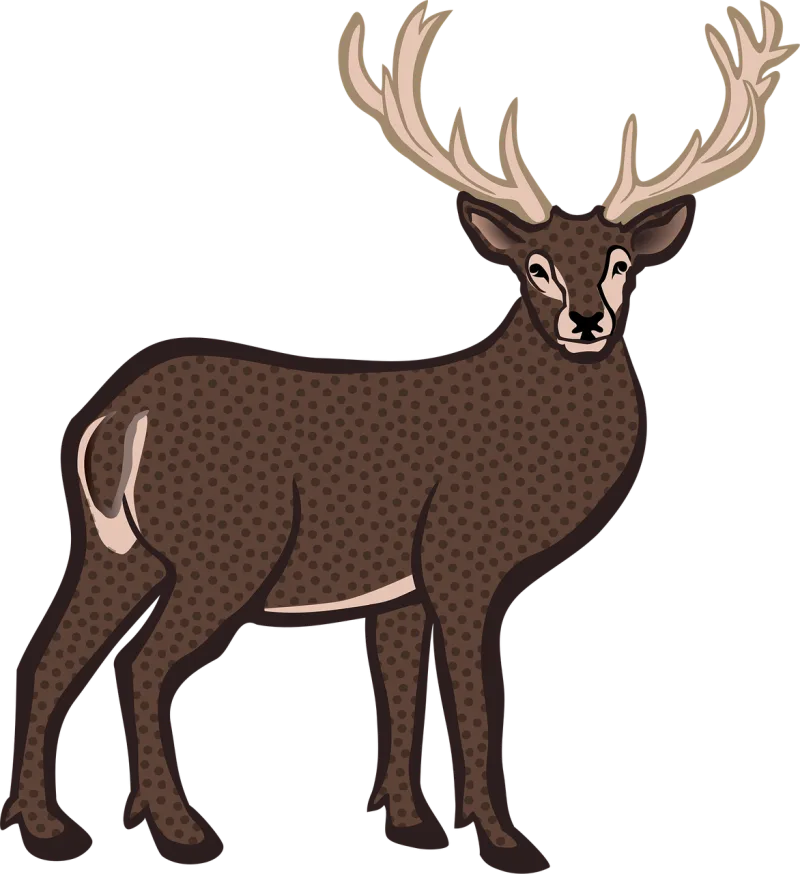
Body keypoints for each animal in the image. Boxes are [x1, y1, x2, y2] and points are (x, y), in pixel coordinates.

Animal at [4, 1, 796, 871]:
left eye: (620, 262)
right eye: (537, 266)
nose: (586, 322)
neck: (524, 437)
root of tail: (116, 417)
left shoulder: (399, 587)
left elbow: (401, 689)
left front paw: (409, 823)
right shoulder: (460, 554)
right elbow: (476, 693)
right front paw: (501, 838)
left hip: (115, 548)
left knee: (49, 659)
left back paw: (47, 826)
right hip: (227, 545)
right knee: (143, 665)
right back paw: (181, 831)